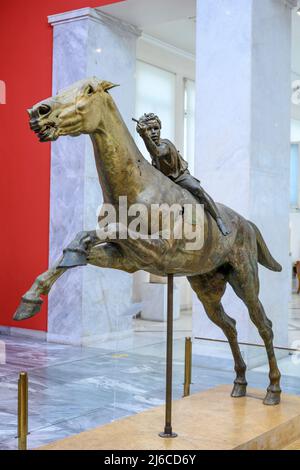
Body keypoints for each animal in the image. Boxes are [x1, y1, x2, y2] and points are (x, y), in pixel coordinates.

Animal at [13, 76, 282, 404]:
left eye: (88, 89)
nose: (37, 112)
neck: (138, 186)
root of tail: (248, 224)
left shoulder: (159, 252)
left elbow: (107, 230)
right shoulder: (126, 259)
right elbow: (80, 243)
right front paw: (29, 302)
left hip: (245, 279)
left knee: (264, 325)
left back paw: (272, 391)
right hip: (207, 285)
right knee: (229, 325)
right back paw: (240, 384)